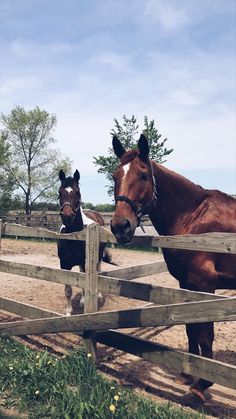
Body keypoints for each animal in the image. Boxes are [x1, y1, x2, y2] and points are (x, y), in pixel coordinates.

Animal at [56, 169, 113, 316]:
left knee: (98, 271)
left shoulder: (87, 263)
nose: (67, 216)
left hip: (96, 258)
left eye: (77, 192)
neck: (74, 238)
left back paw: (97, 297)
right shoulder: (64, 264)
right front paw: (68, 311)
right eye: (60, 192)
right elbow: (68, 289)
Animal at [110, 135, 236, 404]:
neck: (193, 216)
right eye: (115, 176)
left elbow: (205, 333)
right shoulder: (186, 284)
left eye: (143, 175)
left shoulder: (204, 285)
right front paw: (188, 374)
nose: (120, 227)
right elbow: (190, 329)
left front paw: (202, 385)